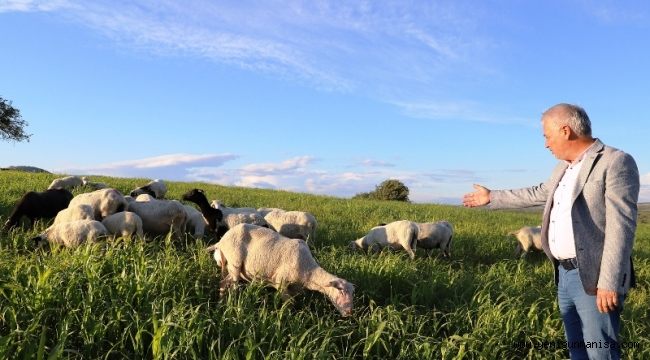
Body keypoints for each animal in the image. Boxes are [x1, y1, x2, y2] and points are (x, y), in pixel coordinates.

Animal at [206, 224, 354, 316]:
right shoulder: (281, 281)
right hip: (235, 263)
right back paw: (231, 305)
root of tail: (221, 241)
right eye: (341, 291)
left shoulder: (295, 288)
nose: (350, 313)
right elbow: (289, 304)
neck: (309, 272)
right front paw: (284, 318)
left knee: (223, 283)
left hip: (232, 267)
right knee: (232, 286)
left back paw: (221, 303)